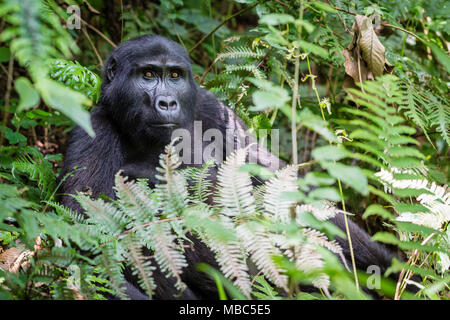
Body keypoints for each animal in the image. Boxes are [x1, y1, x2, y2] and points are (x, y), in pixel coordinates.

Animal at [56, 34, 404, 300]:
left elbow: (276, 182)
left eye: (174, 76)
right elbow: (88, 234)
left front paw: (393, 268)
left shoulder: (212, 107)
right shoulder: (93, 127)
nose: (167, 102)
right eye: (148, 75)